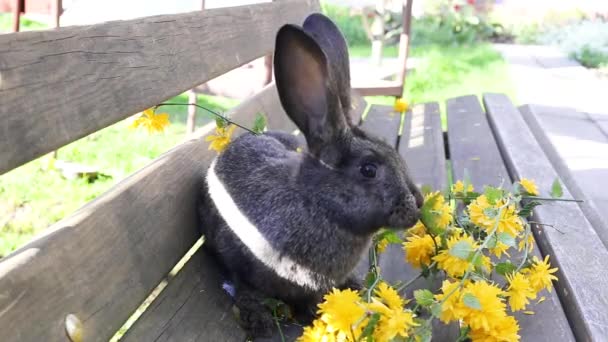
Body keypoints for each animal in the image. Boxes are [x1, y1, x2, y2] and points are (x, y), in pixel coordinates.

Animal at [200, 12, 422, 336]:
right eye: (369, 169)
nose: (418, 204)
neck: (316, 203)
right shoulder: (238, 259)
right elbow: (245, 287)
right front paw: (261, 321)